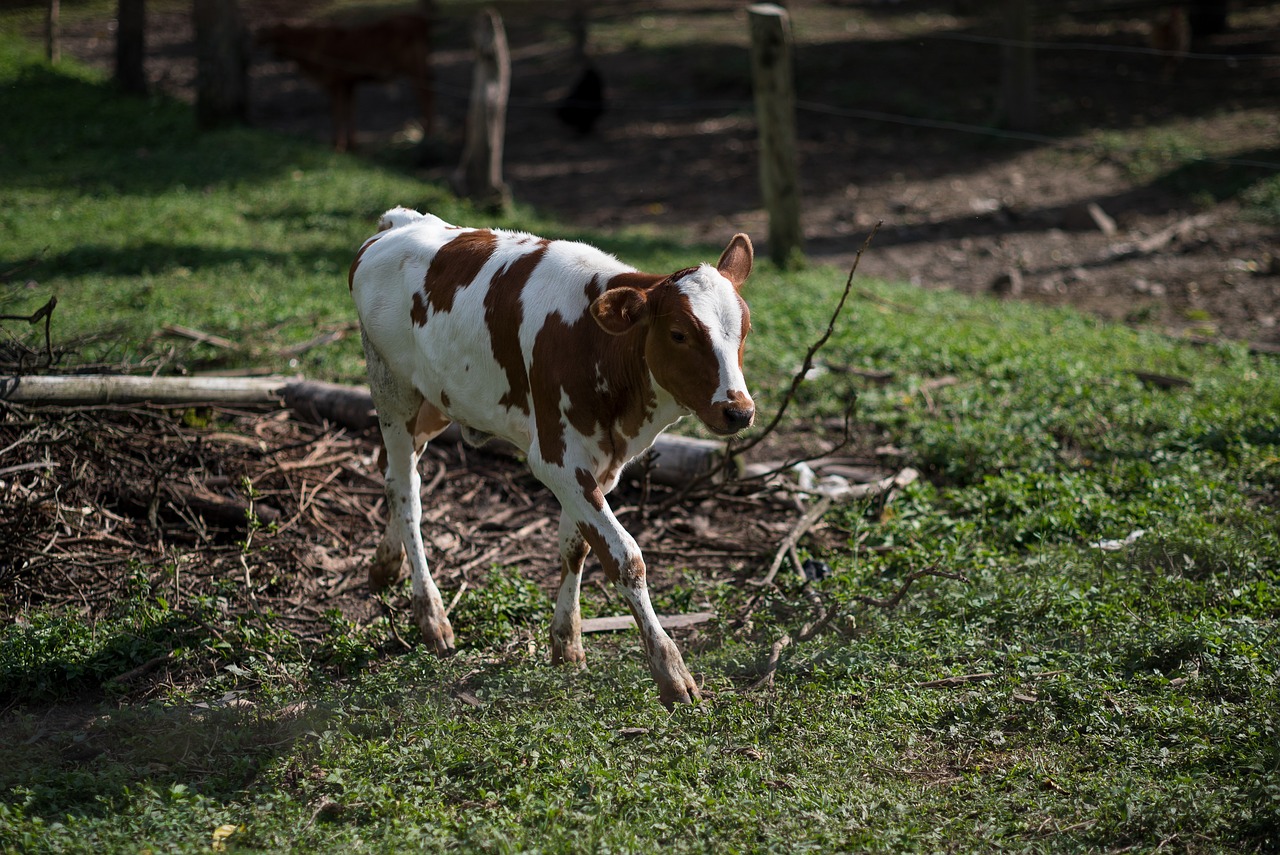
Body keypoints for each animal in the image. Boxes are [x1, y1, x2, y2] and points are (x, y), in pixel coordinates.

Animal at [256, 14, 435, 151]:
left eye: (274, 35)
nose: (257, 39)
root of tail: (422, 21)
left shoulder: (334, 83)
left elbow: (337, 113)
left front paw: (338, 145)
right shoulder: (349, 84)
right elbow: (349, 112)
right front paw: (350, 145)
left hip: (414, 69)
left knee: (426, 97)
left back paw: (427, 137)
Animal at [345, 208, 752, 706]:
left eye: (745, 330)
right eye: (678, 334)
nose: (738, 410)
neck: (597, 345)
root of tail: (399, 222)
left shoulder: (602, 461)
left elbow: (577, 545)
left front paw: (567, 640)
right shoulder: (556, 458)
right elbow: (624, 556)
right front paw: (671, 671)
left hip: (435, 402)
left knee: (394, 475)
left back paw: (386, 564)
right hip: (392, 390)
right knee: (406, 492)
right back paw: (430, 614)